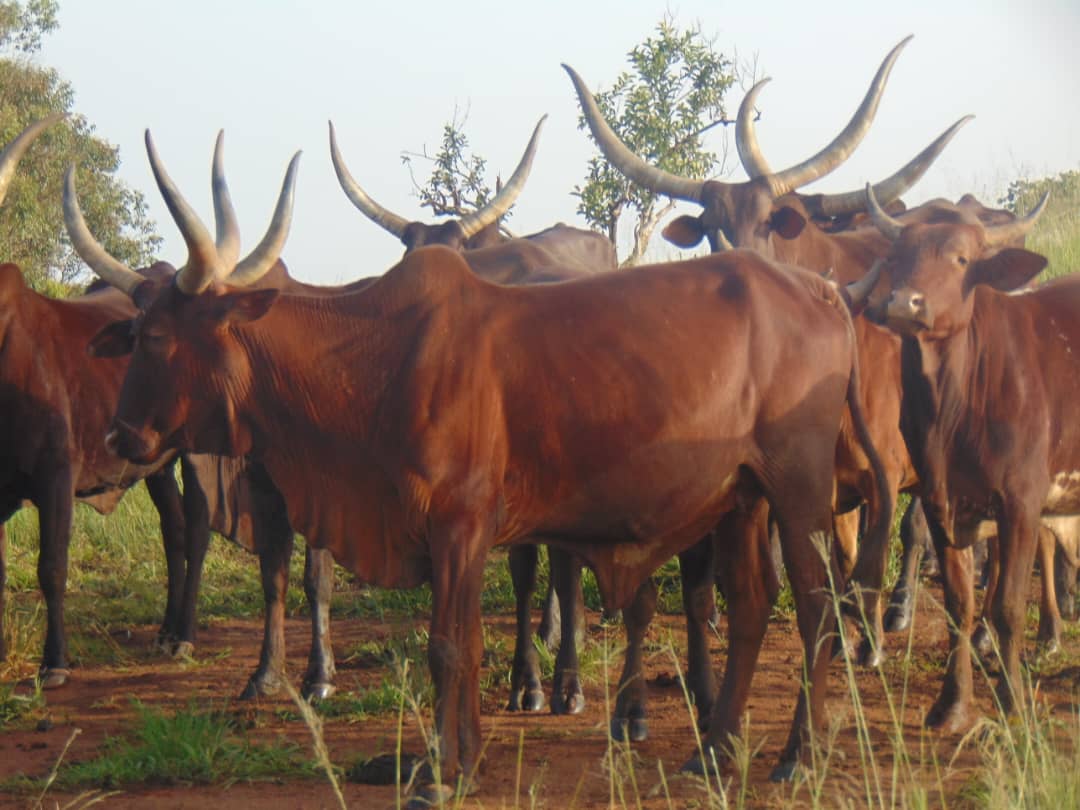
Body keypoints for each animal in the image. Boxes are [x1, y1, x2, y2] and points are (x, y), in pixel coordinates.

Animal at [70, 132, 889, 800]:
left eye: (159, 337)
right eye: (132, 333)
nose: (121, 435)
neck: (375, 354)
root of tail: (822, 291)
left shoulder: (460, 521)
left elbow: (447, 646)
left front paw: (439, 772)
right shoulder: (454, 536)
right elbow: (460, 641)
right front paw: (456, 760)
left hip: (800, 492)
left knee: (815, 608)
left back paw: (798, 758)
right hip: (744, 497)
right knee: (752, 605)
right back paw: (712, 753)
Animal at [861, 183, 1060, 728]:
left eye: (962, 259)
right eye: (898, 256)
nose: (904, 303)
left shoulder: (1020, 504)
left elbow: (1008, 605)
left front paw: (1014, 704)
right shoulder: (944, 502)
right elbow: (958, 602)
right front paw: (951, 706)